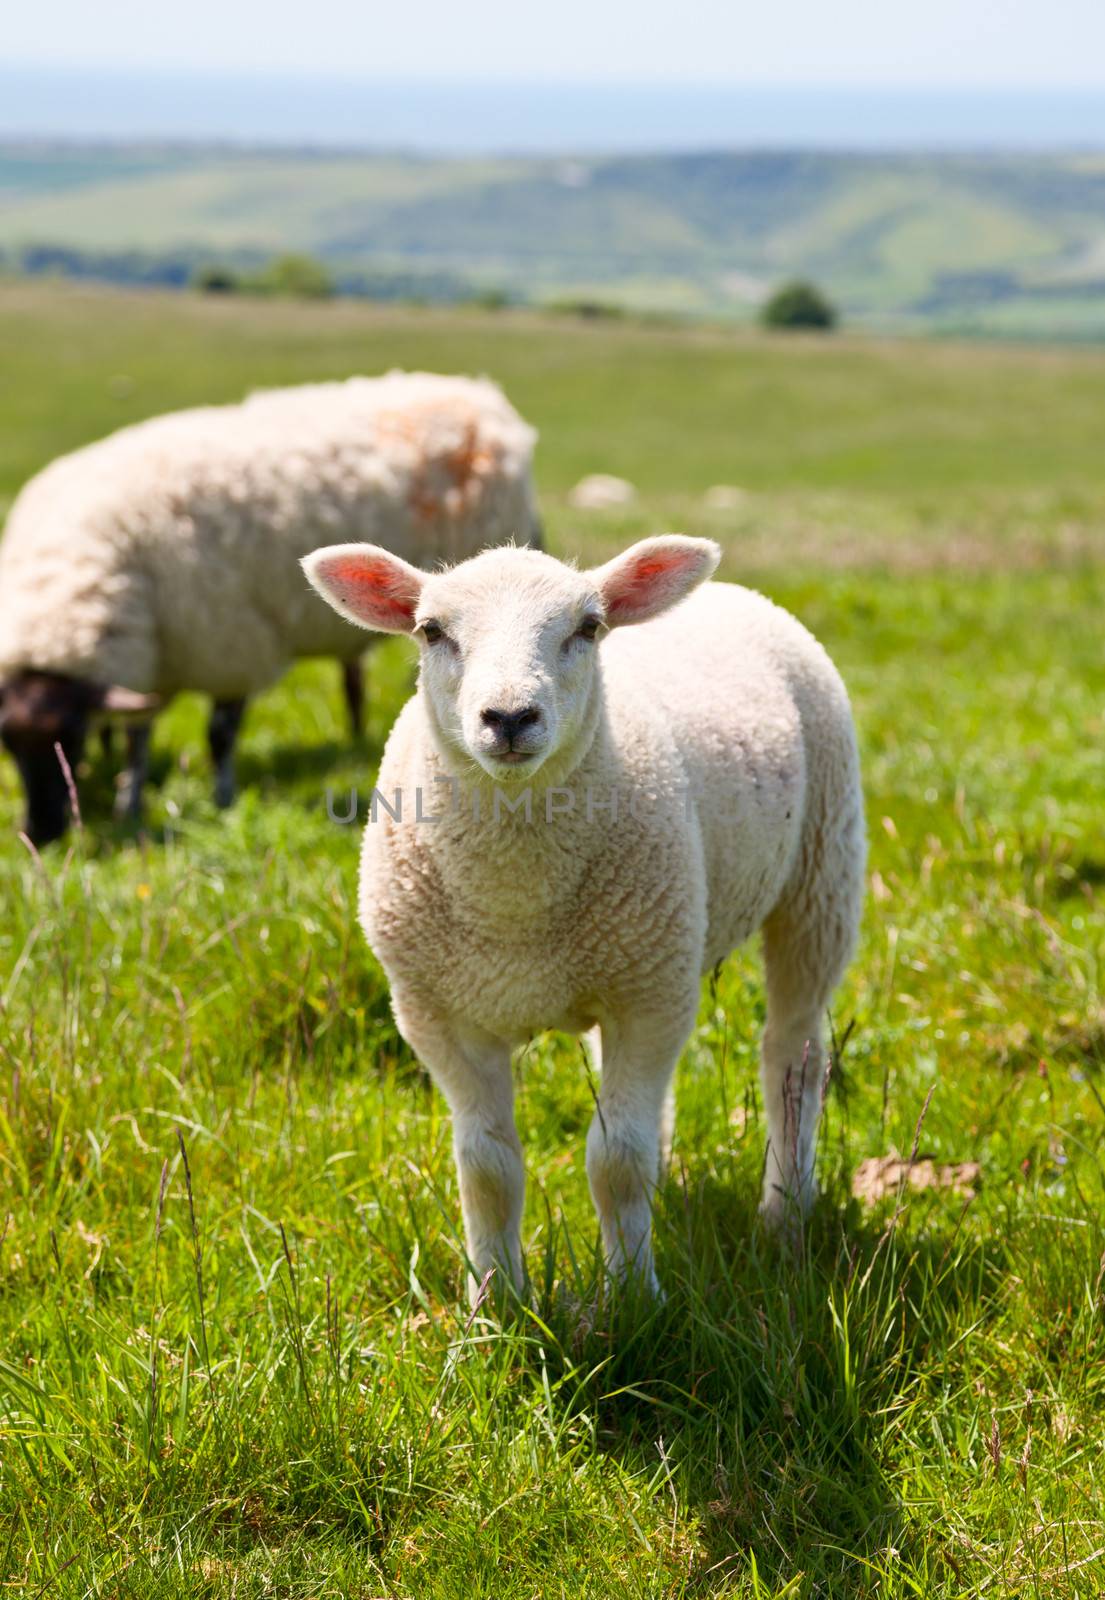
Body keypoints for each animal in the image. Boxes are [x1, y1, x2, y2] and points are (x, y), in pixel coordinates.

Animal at [0, 371, 540, 851]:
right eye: (8, 744)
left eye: (71, 737)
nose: (39, 834)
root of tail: (475, 392)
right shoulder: (155, 657)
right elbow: (138, 735)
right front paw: (128, 803)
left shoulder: (233, 644)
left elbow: (219, 735)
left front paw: (221, 800)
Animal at [302, 537, 863, 1299]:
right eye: (431, 631)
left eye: (588, 627)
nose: (509, 718)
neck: (514, 900)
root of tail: (729, 591)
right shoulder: (437, 1015)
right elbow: (487, 1168)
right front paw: (495, 1301)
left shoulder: (650, 999)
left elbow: (615, 1162)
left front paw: (632, 1296)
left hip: (820, 876)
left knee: (792, 1056)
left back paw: (784, 1213)